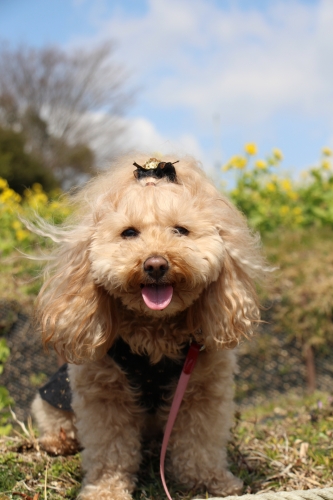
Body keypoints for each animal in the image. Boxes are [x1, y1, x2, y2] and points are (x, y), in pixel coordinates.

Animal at [30, 154, 264, 498]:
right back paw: (58, 442)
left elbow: (200, 442)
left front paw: (209, 481)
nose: (155, 264)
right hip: (52, 398)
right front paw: (106, 490)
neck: (155, 331)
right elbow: (110, 450)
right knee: (57, 421)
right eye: (129, 233)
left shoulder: (203, 389)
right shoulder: (103, 393)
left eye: (181, 230)